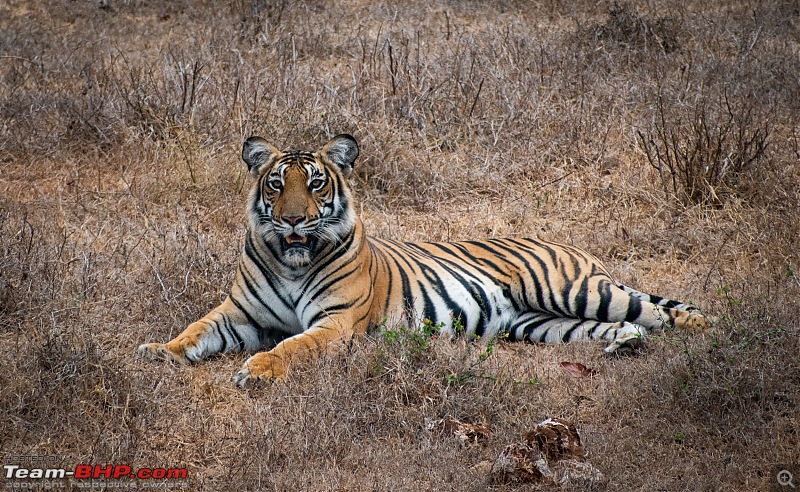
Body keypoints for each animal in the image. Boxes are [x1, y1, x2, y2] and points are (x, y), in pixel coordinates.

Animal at [136, 133, 708, 386]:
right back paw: (622, 349)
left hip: (571, 289)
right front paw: (158, 352)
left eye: (315, 184)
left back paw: (713, 338)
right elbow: (194, 330)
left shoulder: (335, 323)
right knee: (627, 326)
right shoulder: (238, 314)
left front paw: (258, 369)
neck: (291, 259)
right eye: (276, 185)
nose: (295, 221)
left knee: (667, 313)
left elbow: (295, 346)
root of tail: (577, 247)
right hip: (545, 324)